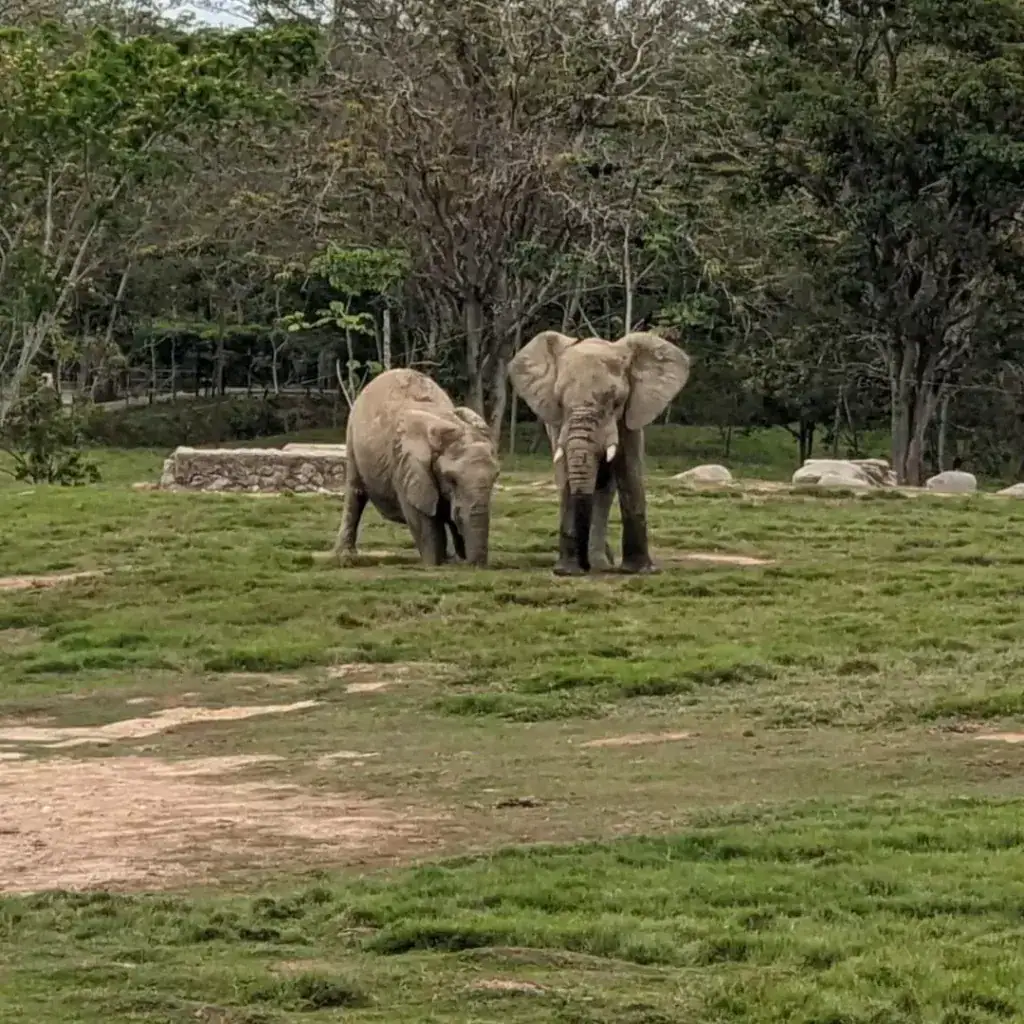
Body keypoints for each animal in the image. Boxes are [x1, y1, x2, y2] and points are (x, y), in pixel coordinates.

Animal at [333, 368, 500, 567]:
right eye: (451, 479)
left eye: (496, 477)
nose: (473, 565)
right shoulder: (405, 466)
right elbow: (421, 519)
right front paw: (434, 564)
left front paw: (453, 559)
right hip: (352, 439)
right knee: (355, 494)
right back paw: (346, 557)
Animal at [508, 329, 691, 576]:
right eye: (560, 402)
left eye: (616, 402)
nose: (583, 566)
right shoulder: (557, 424)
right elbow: (567, 476)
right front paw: (568, 571)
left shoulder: (631, 416)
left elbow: (629, 474)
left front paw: (640, 570)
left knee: (605, 489)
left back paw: (601, 563)